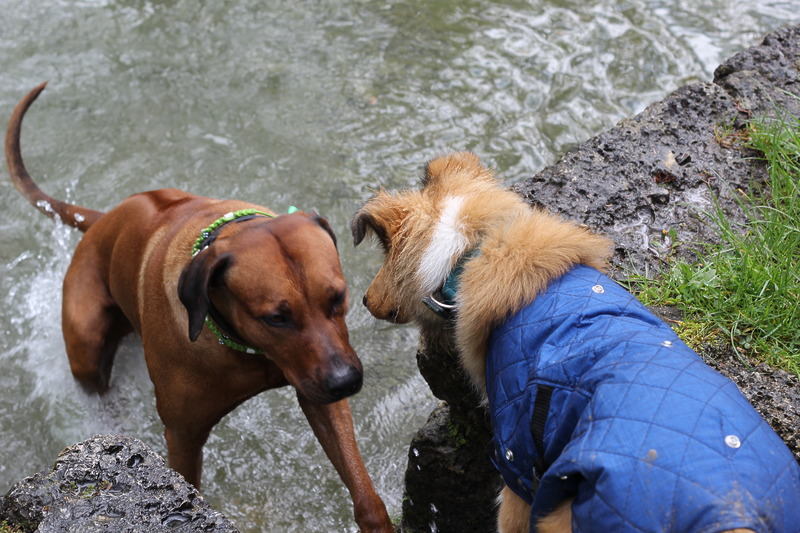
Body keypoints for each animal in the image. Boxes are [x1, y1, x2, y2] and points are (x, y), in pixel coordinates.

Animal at [5, 84, 394, 532]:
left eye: (338, 298)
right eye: (276, 318)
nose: (346, 381)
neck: (245, 347)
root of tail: (102, 219)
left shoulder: (317, 384)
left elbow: (362, 488)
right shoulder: (183, 434)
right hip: (85, 336)